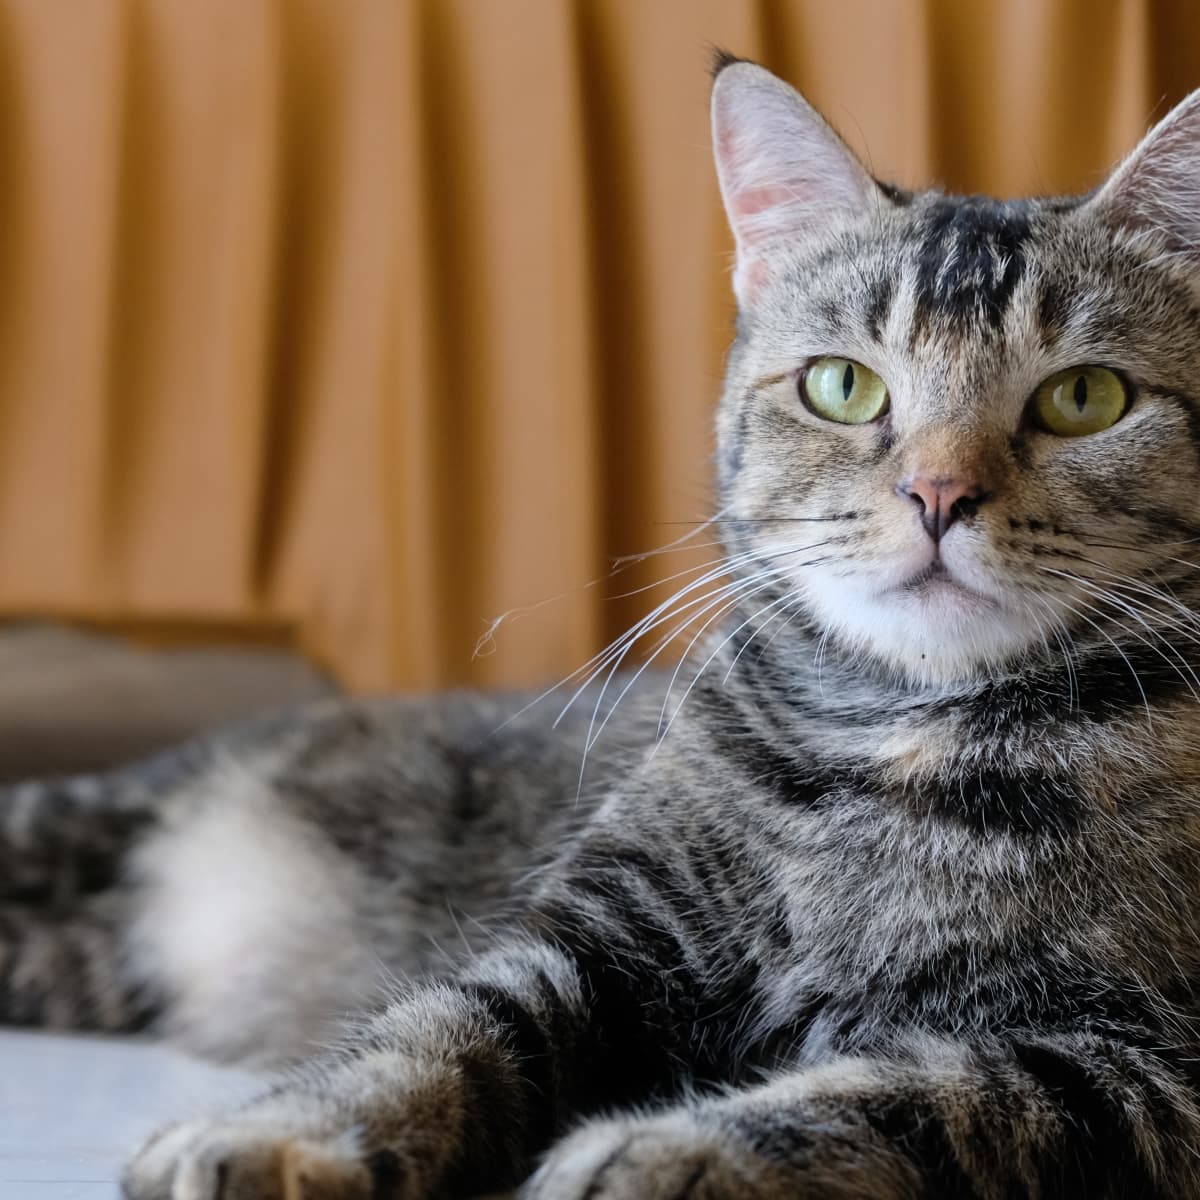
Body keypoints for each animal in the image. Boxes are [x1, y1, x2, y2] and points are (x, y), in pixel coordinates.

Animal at [2, 54, 1200, 1200]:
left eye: (1085, 397)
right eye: (843, 386)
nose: (939, 492)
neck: (894, 740)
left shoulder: (1140, 1070)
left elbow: (907, 1099)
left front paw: (670, 1151)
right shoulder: (600, 942)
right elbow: (434, 1032)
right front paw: (285, 1131)